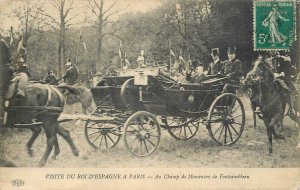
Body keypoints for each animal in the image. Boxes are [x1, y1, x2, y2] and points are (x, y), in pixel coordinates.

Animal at [0, 38, 79, 166]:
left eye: (48, 76)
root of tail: (57, 90)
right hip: (48, 119)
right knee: (63, 133)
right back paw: (71, 152)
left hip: (45, 119)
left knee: (50, 138)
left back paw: (41, 161)